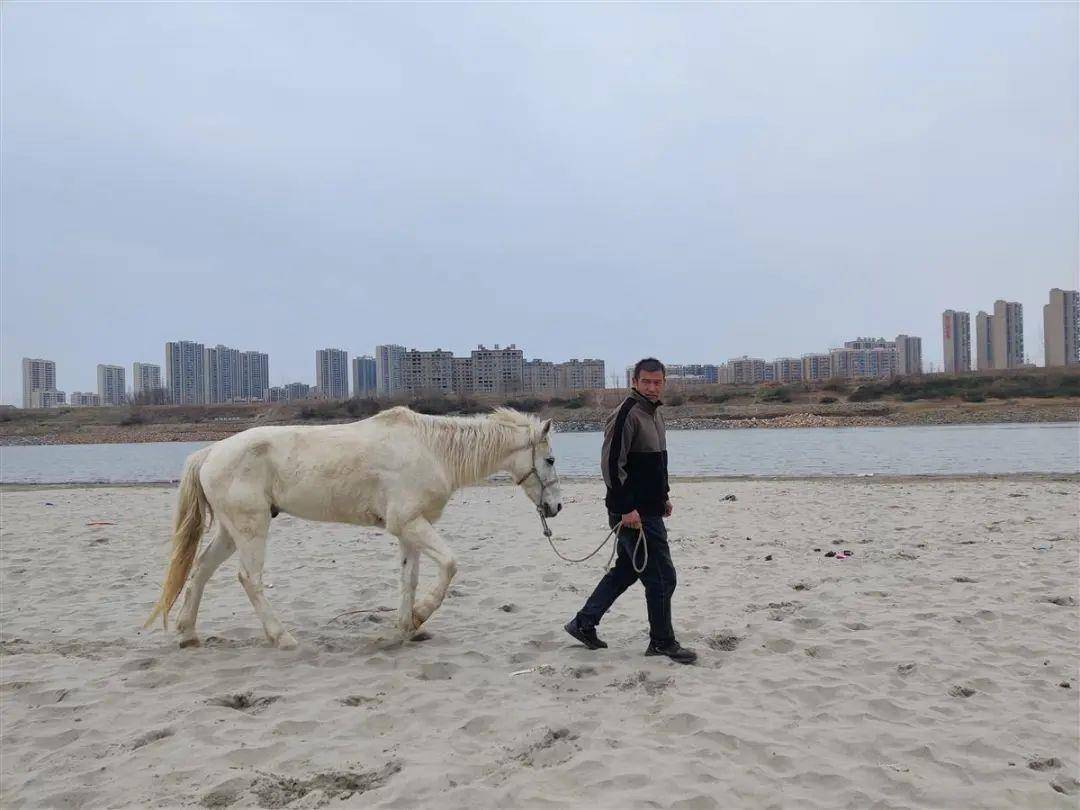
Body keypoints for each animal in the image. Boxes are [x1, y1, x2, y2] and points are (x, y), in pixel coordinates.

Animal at [143, 407, 563, 649]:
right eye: (551, 459)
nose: (555, 507)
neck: (431, 449)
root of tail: (210, 452)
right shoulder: (409, 523)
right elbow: (450, 564)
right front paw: (420, 615)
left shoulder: (409, 529)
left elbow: (409, 579)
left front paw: (406, 626)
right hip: (251, 528)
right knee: (250, 579)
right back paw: (283, 637)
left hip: (231, 532)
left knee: (200, 570)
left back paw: (188, 633)